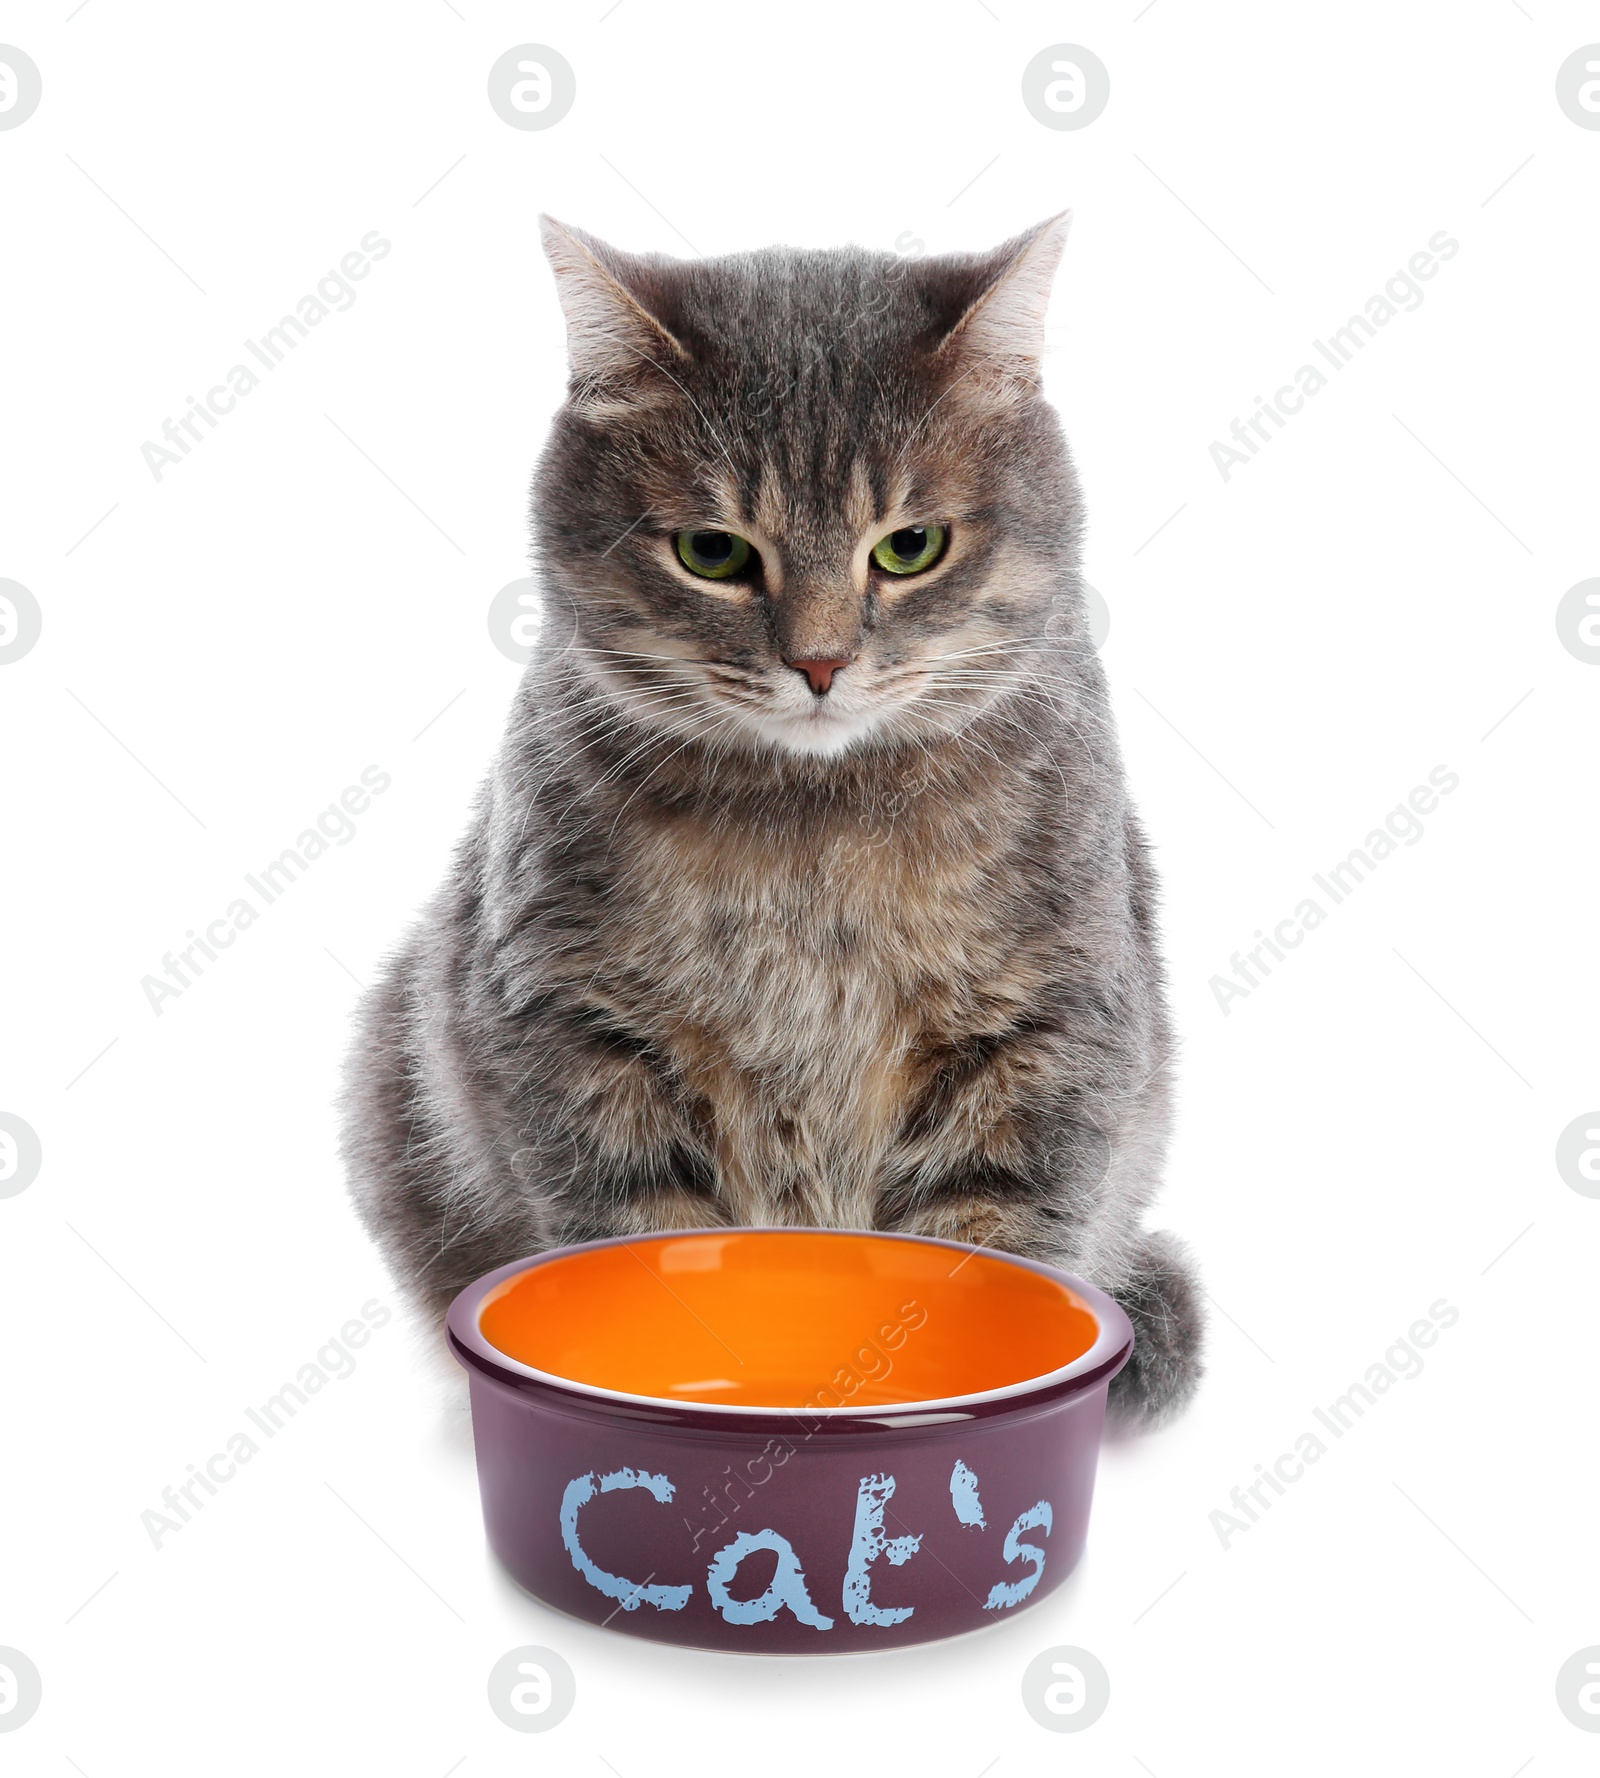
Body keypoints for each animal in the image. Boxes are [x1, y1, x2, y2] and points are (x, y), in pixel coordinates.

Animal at [343, 215, 1208, 1422]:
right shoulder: (576, 1032)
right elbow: (639, 1242)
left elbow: (984, 1252)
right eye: (712, 553)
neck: (814, 831)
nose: (820, 661)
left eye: (908, 547)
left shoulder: (1044, 1035)